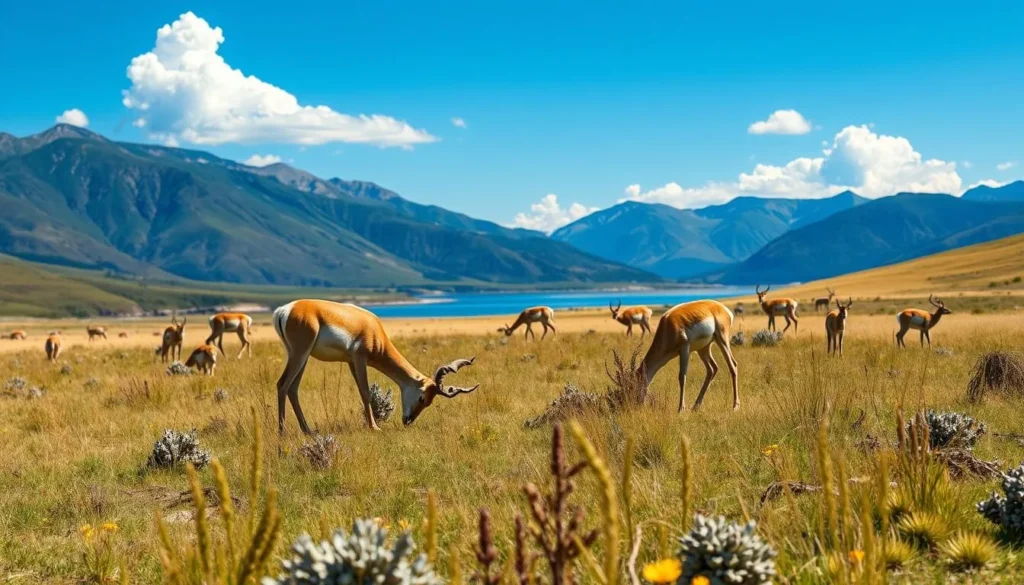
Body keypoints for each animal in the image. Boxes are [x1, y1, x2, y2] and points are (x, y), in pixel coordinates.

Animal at [273, 300, 479, 433]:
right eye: (422, 398)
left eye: (429, 402)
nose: (408, 420)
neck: (373, 329)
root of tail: (284, 310)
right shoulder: (359, 358)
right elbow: (365, 392)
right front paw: (375, 427)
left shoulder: (351, 362)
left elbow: (362, 391)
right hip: (300, 354)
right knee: (282, 384)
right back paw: (282, 432)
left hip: (302, 356)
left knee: (293, 388)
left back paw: (307, 430)